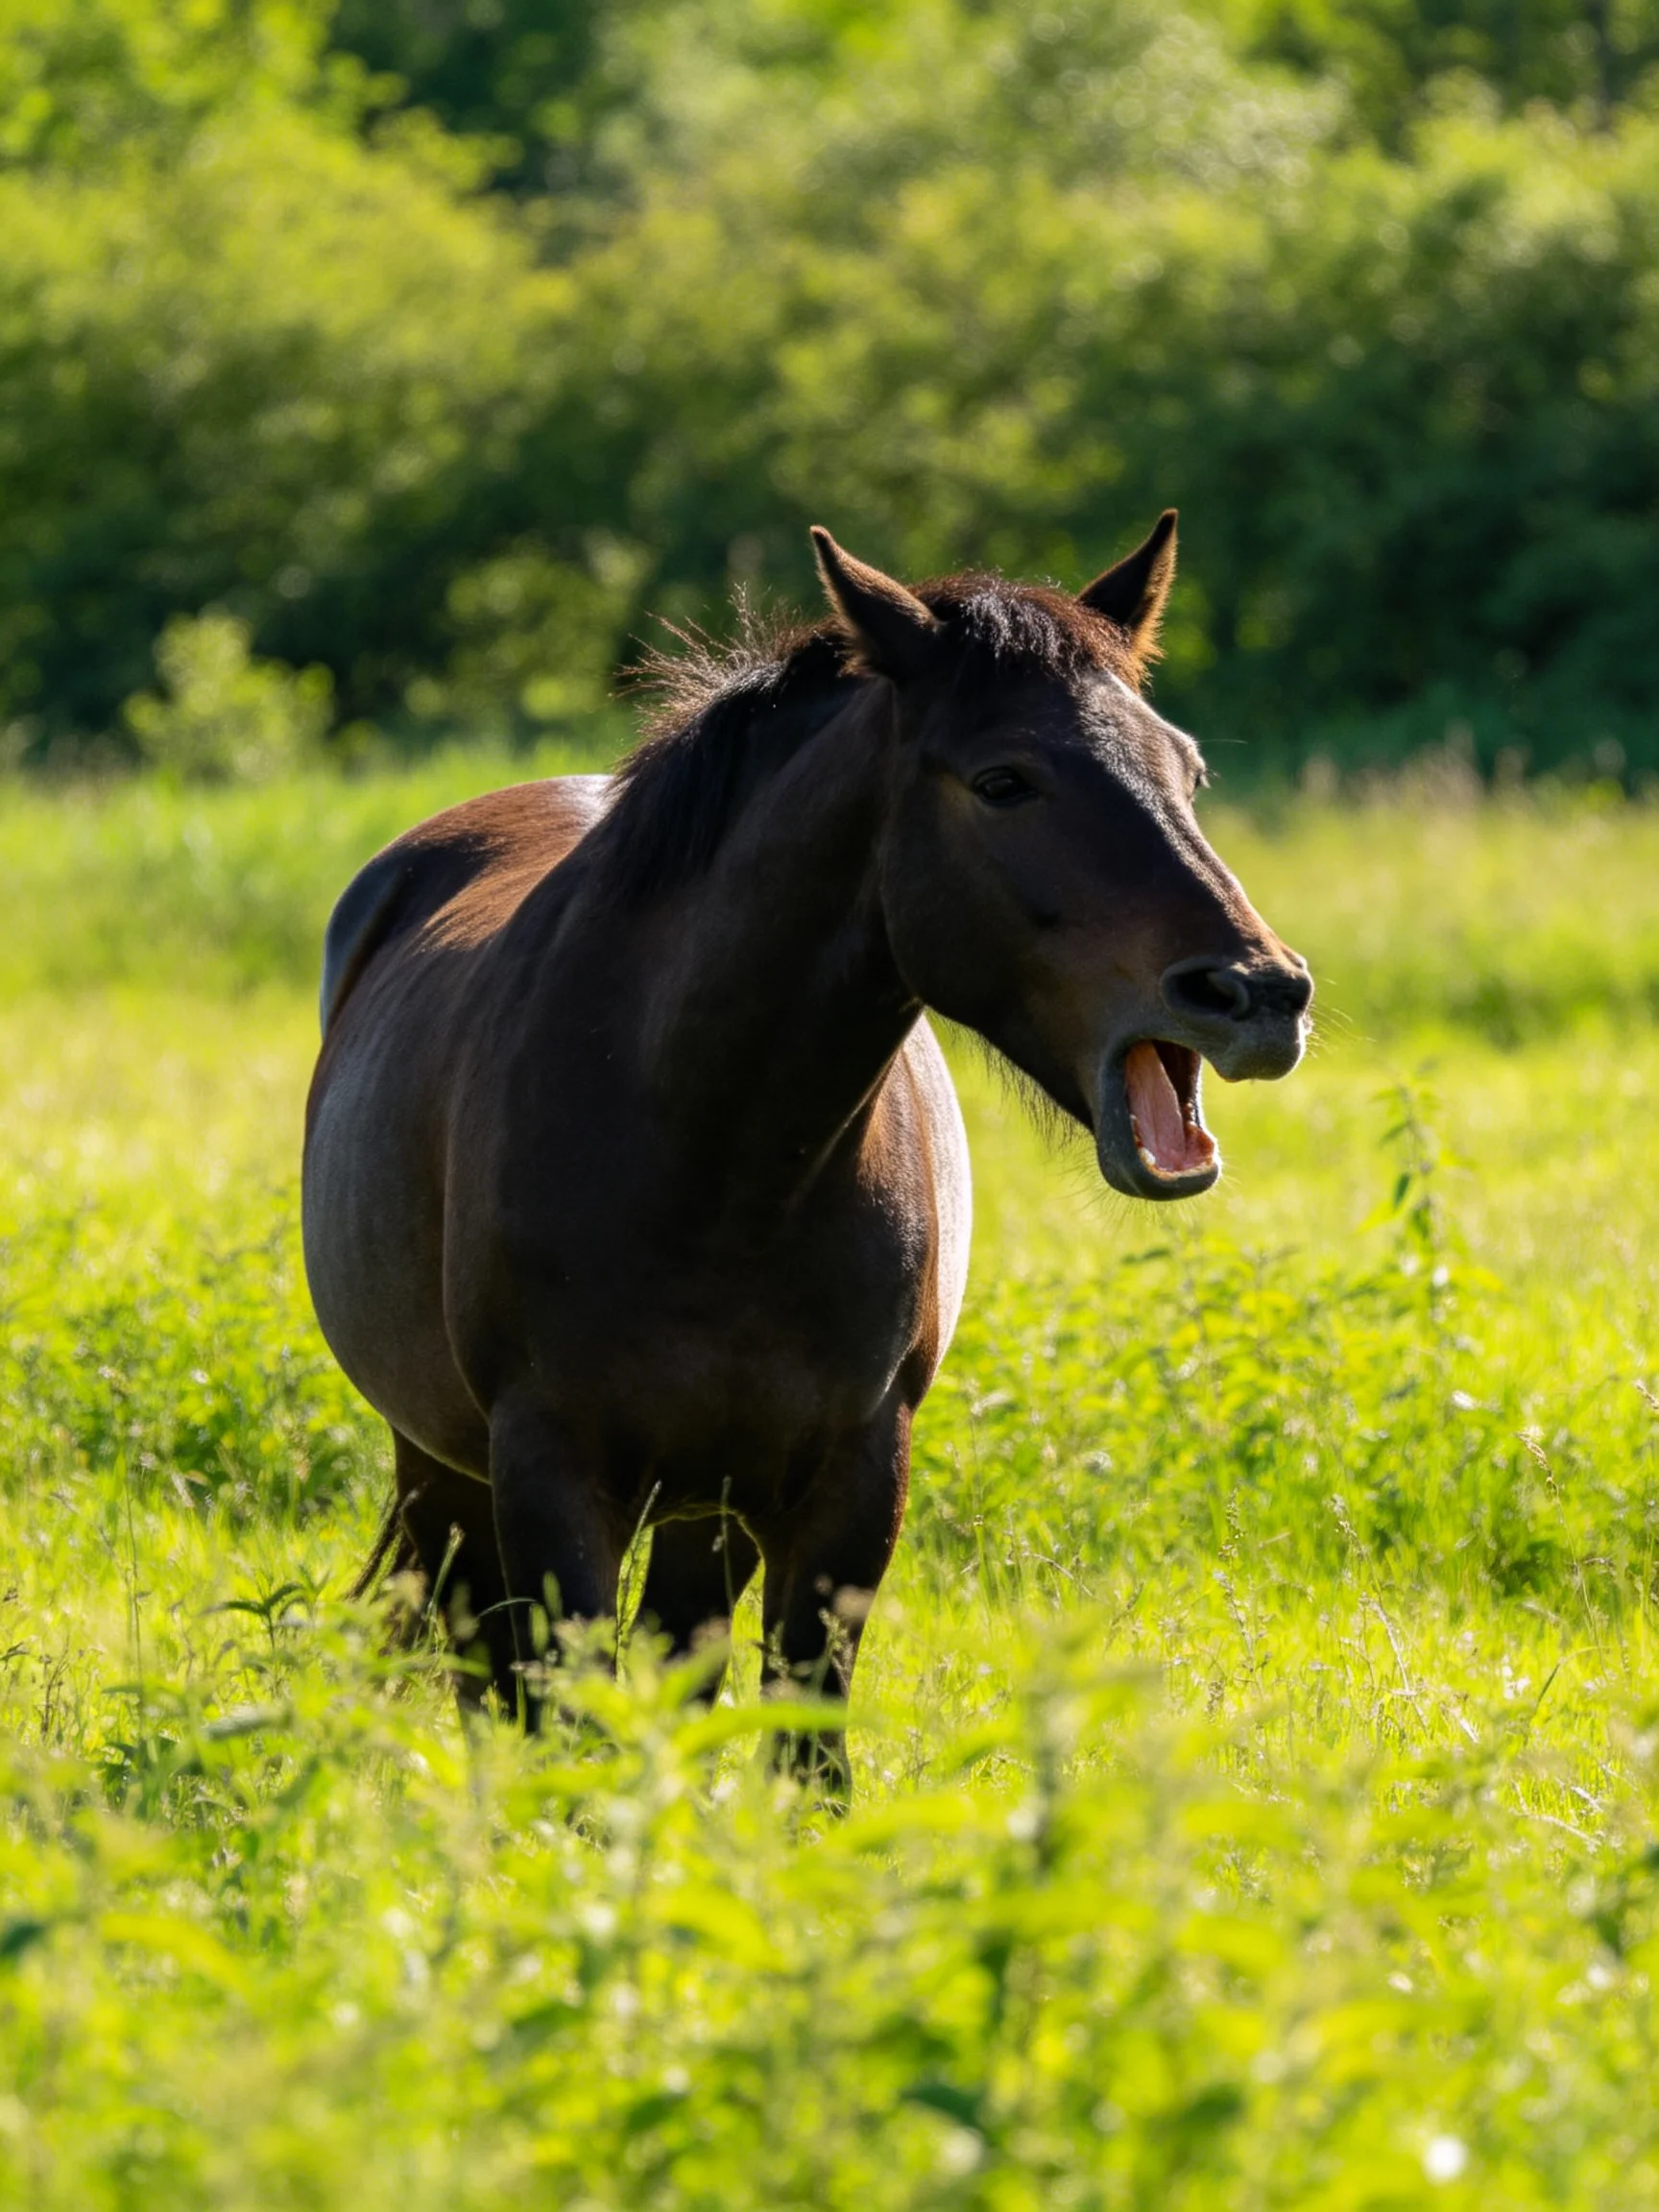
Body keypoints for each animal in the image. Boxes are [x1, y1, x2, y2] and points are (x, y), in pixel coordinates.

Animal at [302, 514, 1312, 1788]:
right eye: (1003, 781)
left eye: (1187, 771)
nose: (1259, 993)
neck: (720, 1163)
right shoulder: (548, 1474)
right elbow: (573, 1729)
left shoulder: (846, 1483)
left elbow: (800, 1745)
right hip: (444, 1462)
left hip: (701, 1506)